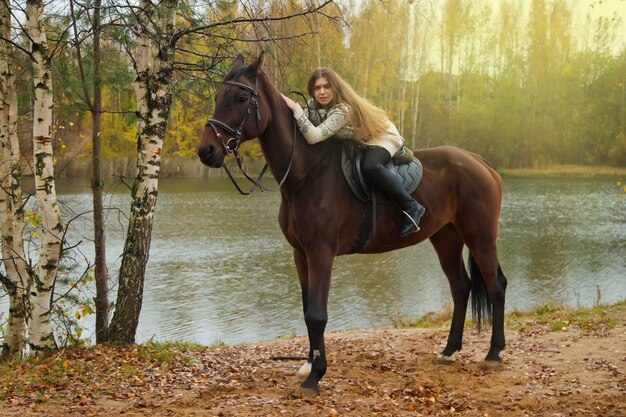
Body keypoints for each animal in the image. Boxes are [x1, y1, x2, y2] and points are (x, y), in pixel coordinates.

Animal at [197, 55, 510, 396]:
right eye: (218, 97)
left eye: (241, 98)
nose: (206, 151)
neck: (307, 173)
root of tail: (479, 162)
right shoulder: (300, 253)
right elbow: (307, 309)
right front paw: (308, 363)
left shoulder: (321, 251)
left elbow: (317, 314)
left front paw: (315, 376)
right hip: (445, 237)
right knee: (461, 287)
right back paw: (449, 350)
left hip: (480, 236)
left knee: (495, 285)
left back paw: (493, 353)